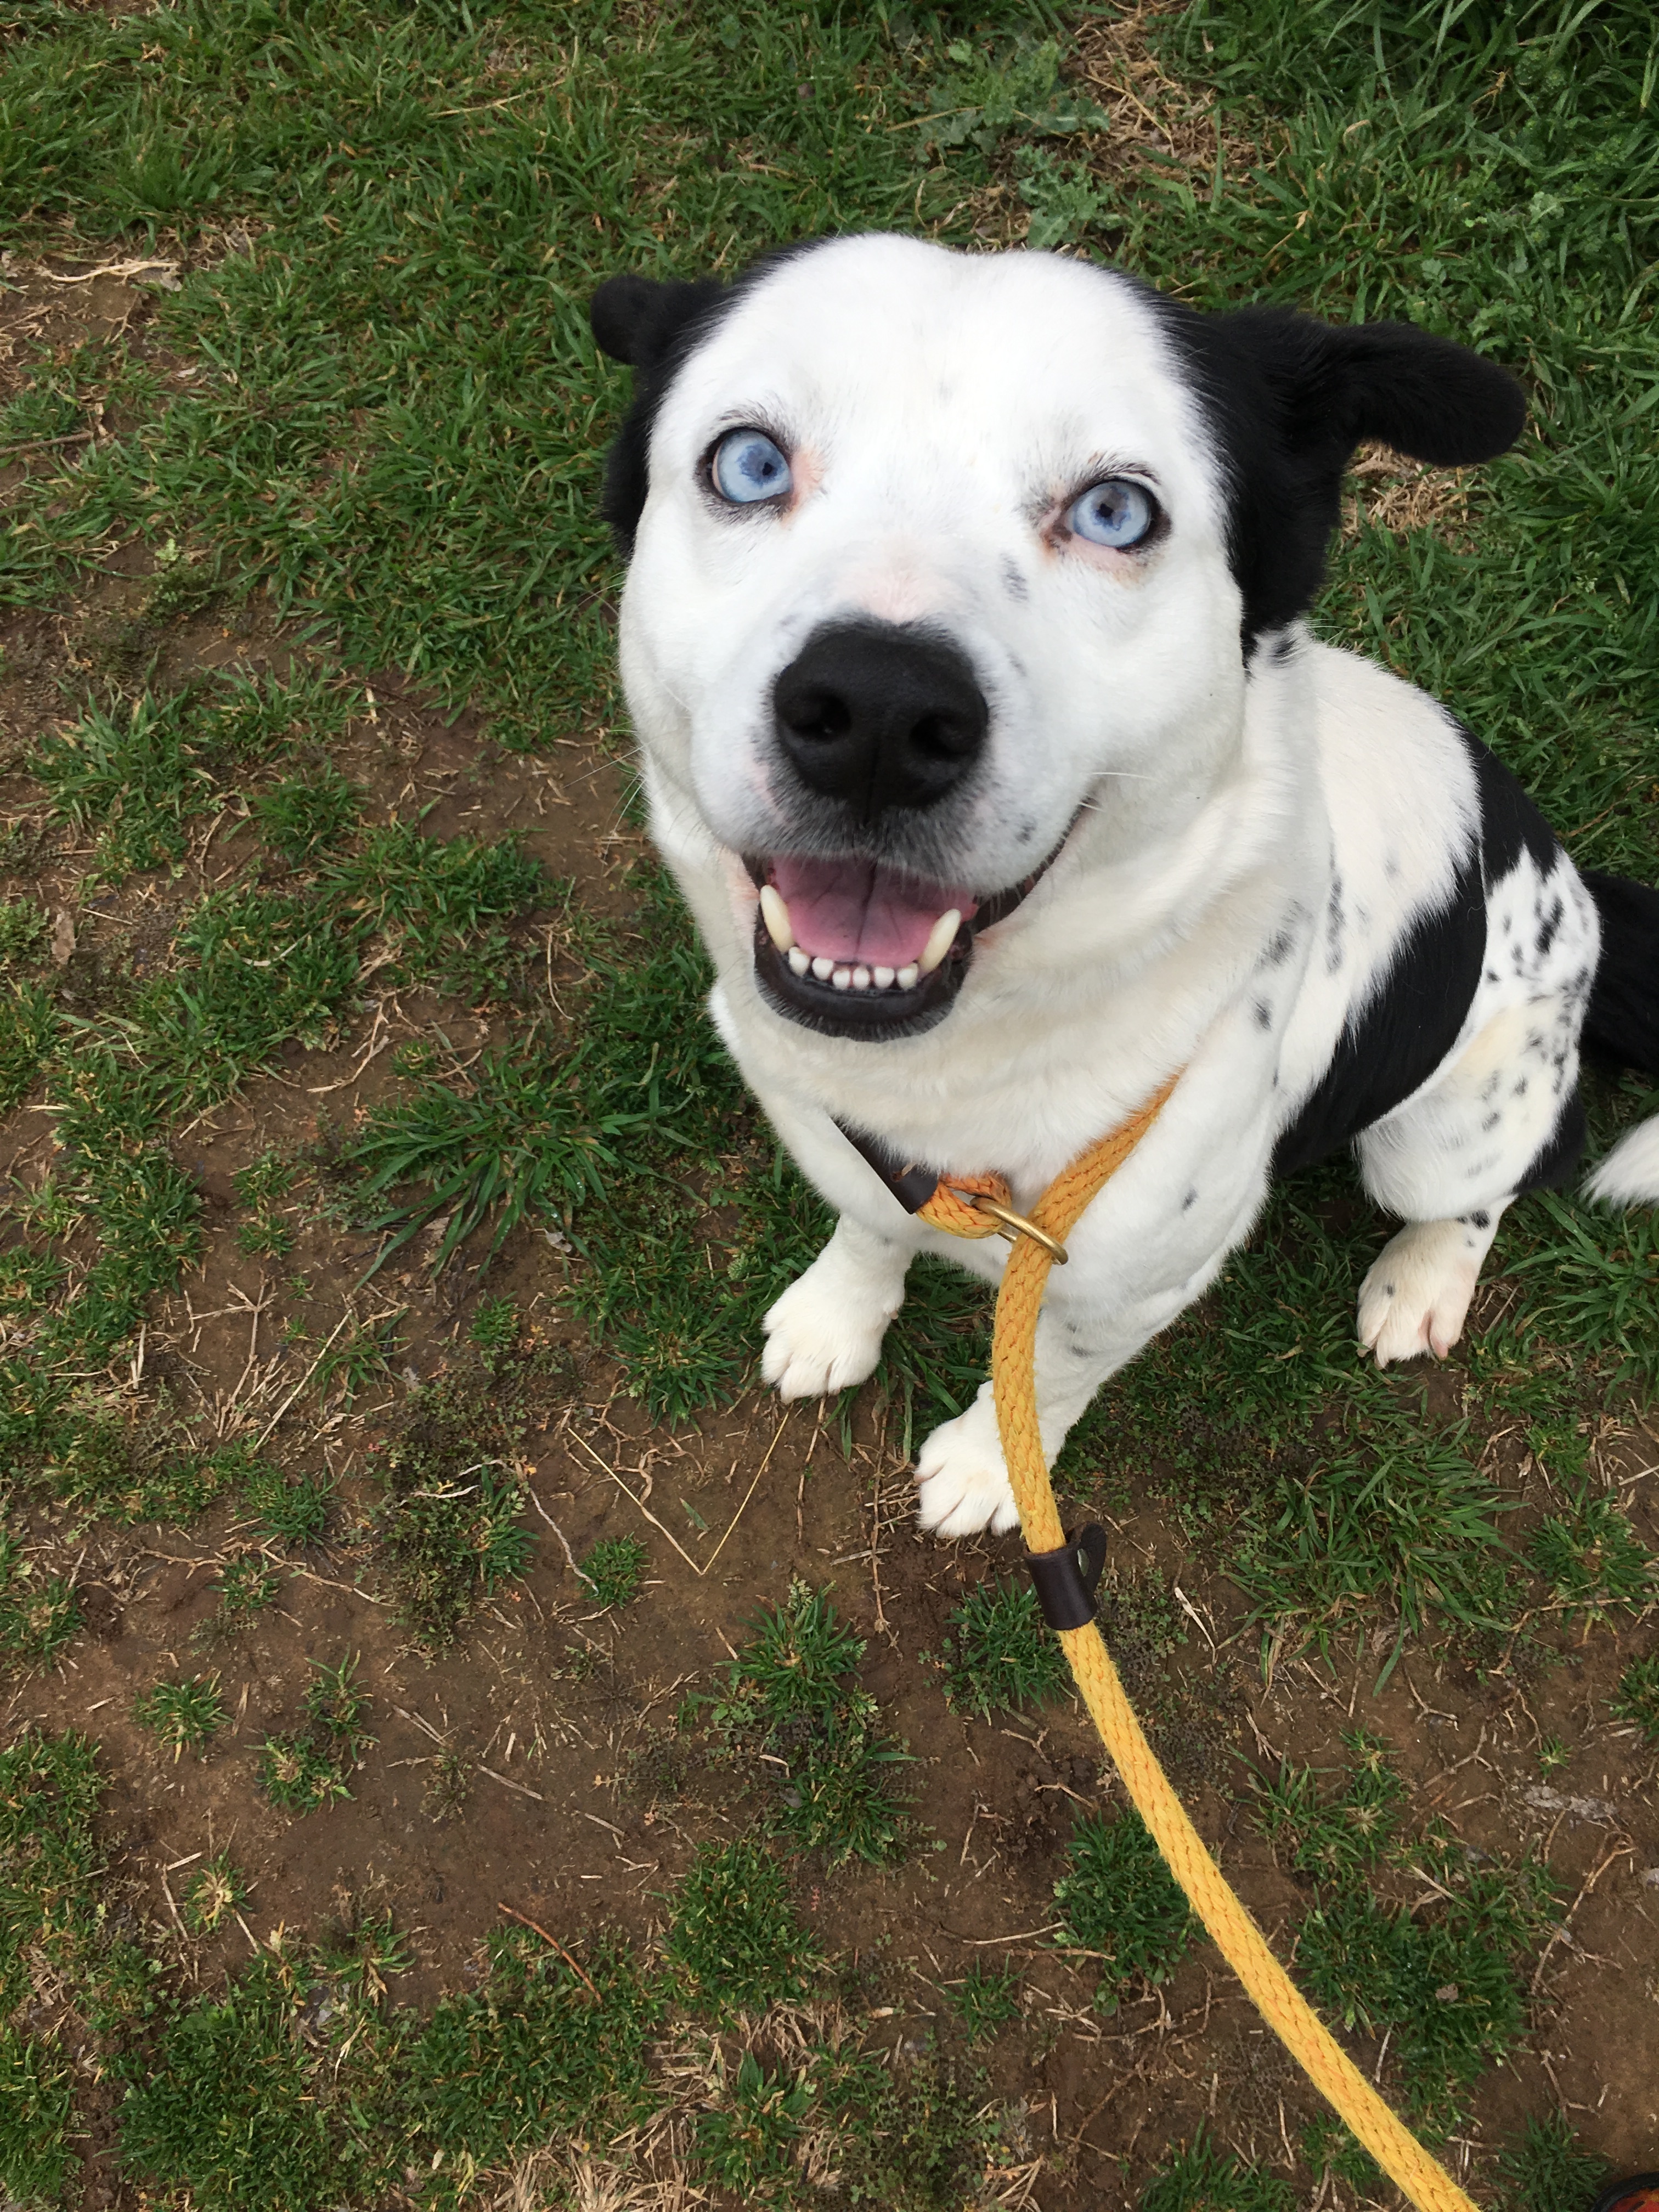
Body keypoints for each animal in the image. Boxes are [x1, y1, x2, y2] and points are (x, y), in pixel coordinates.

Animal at [592, 229, 1659, 1539]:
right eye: (747, 463)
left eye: (1114, 511)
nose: (879, 714)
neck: (961, 1068)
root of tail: (1584, 898)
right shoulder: (852, 1150)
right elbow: (867, 1224)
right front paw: (840, 1313)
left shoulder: (1133, 1283)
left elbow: (1049, 1375)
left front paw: (993, 1466)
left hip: (1449, 1124)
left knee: (1505, 1177)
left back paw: (1423, 1278)